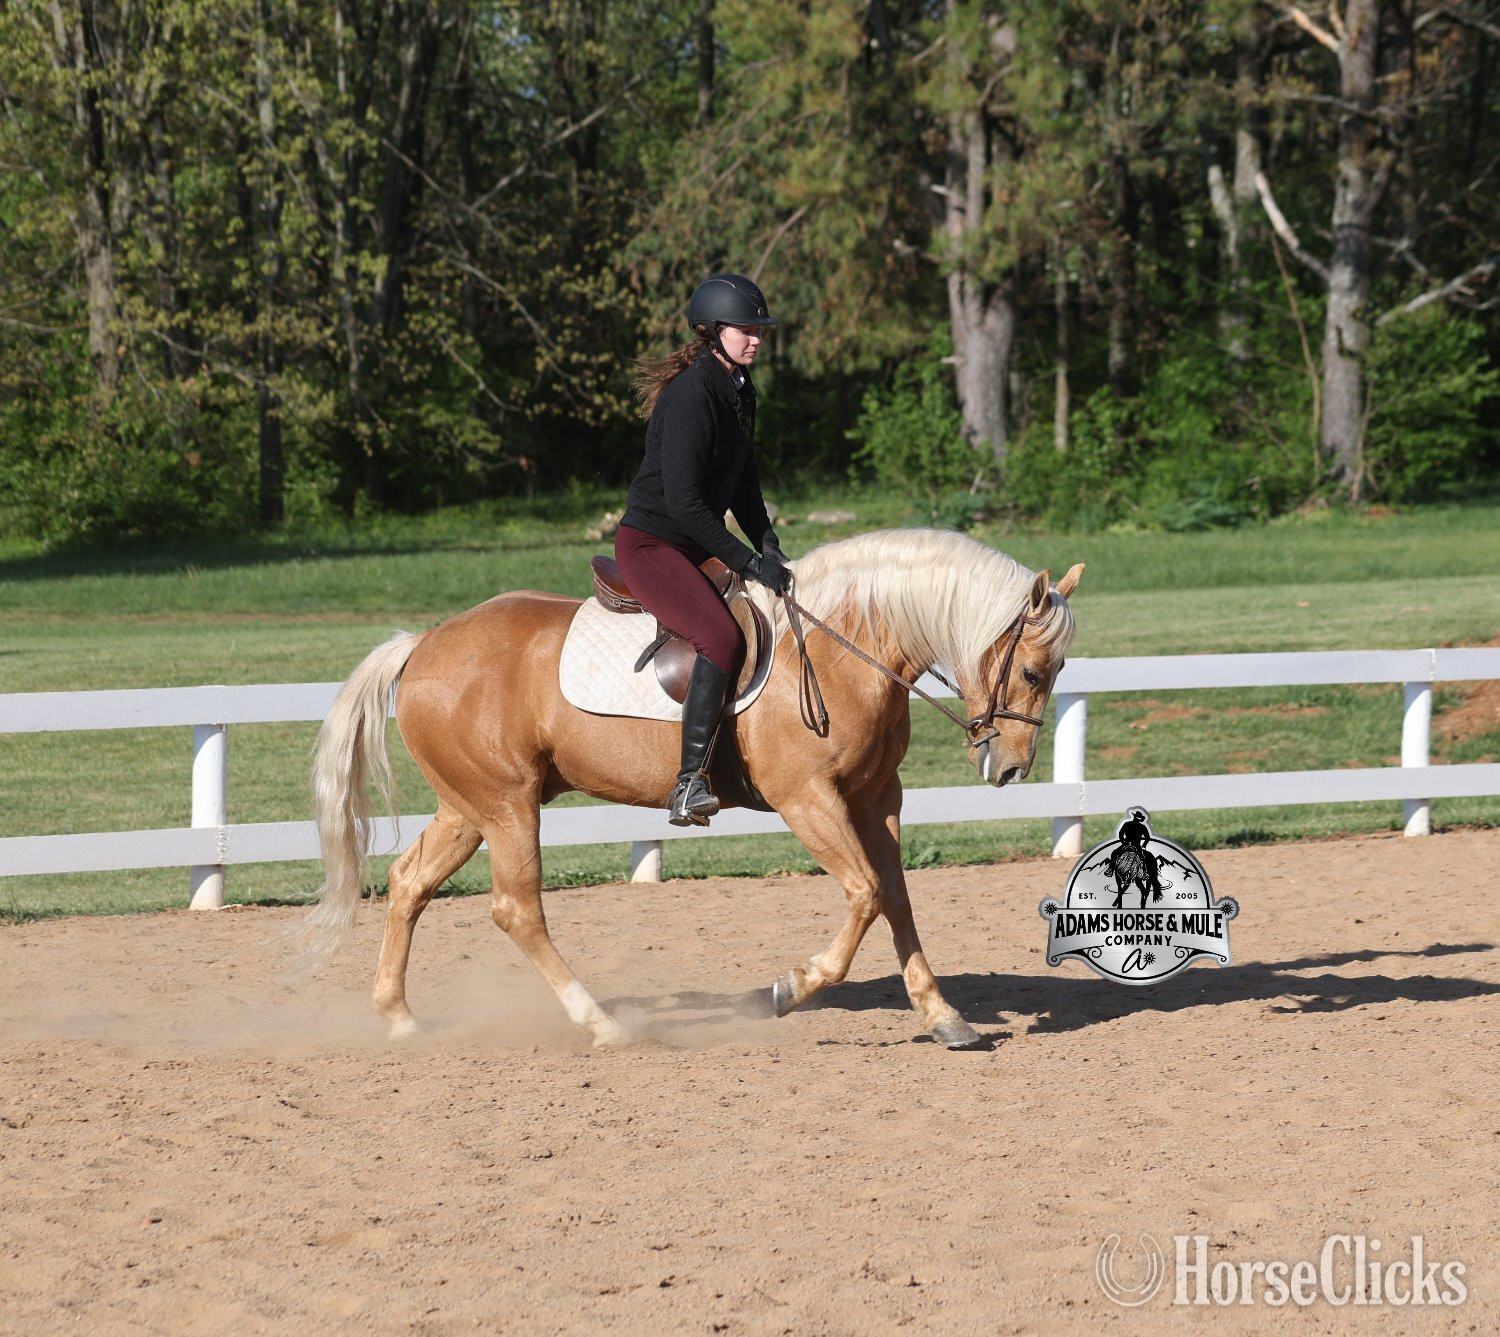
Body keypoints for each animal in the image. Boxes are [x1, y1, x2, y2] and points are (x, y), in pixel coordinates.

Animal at [302, 528, 1083, 1050]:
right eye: (1033, 671)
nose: (1010, 768)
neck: (844, 646)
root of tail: (423, 645)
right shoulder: (809, 799)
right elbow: (863, 895)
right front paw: (786, 988)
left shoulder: (874, 800)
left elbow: (894, 898)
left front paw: (944, 1015)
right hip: (507, 807)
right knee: (516, 910)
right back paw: (603, 1024)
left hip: (470, 808)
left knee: (409, 882)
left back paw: (399, 1016)